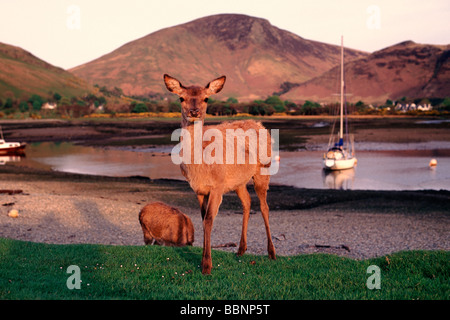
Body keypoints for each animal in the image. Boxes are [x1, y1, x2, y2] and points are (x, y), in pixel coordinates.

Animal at [163, 74, 276, 274]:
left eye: (206, 98)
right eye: (181, 98)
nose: (194, 112)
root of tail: (259, 124)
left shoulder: (217, 185)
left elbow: (209, 219)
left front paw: (207, 265)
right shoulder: (199, 189)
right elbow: (202, 219)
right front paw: (203, 260)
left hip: (263, 170)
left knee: (265, 207)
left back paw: (271, 252)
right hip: (238, 181)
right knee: (247, 202)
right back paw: (241, 249)